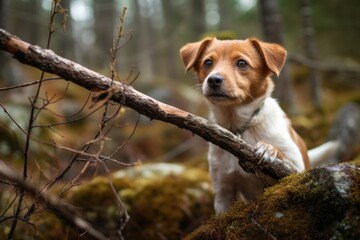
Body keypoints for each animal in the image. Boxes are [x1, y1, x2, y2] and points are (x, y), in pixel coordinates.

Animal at [180, 38, 340, 214]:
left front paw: (269, 149)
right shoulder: (223, 191)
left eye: (242, 63)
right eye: (208, 62)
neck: (239, 127)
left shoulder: (296, 170)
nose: (213, 80)